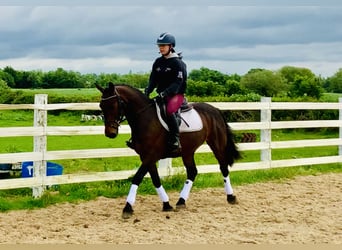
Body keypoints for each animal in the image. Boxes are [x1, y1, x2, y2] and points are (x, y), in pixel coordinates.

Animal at [95, 82, 240, 219]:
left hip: (217, 145)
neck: (145, 118)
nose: (110, 133)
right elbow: (155, 179)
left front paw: (127, 208)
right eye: (101, 106)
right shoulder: (146, 157)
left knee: (223, 167)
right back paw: (181, 202)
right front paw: (166, 204)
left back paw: (231, 197)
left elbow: (137, 178)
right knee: (192, 172)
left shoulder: (151, 155)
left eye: (113, 105)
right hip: (188, 151)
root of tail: (215, 109)